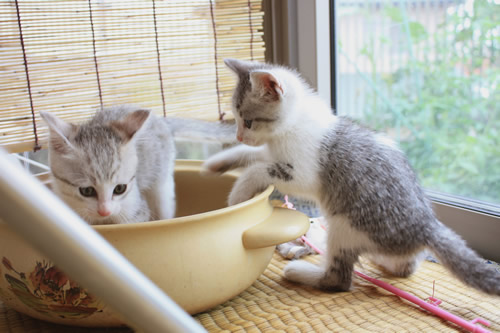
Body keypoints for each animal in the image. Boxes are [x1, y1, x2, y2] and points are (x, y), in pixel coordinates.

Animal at [202, 58, 500, 294]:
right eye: (237, 119)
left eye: (248, 121)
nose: (239, 134)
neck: (292, 126)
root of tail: (425, 225)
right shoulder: (271, 150)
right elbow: (252, 155)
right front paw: (216, 163)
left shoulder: (302, 173)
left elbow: (260, 169)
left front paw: (239, 192)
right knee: (406, 266)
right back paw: (385, 261)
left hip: (345, 225)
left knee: (339, 279)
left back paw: (302, 273)